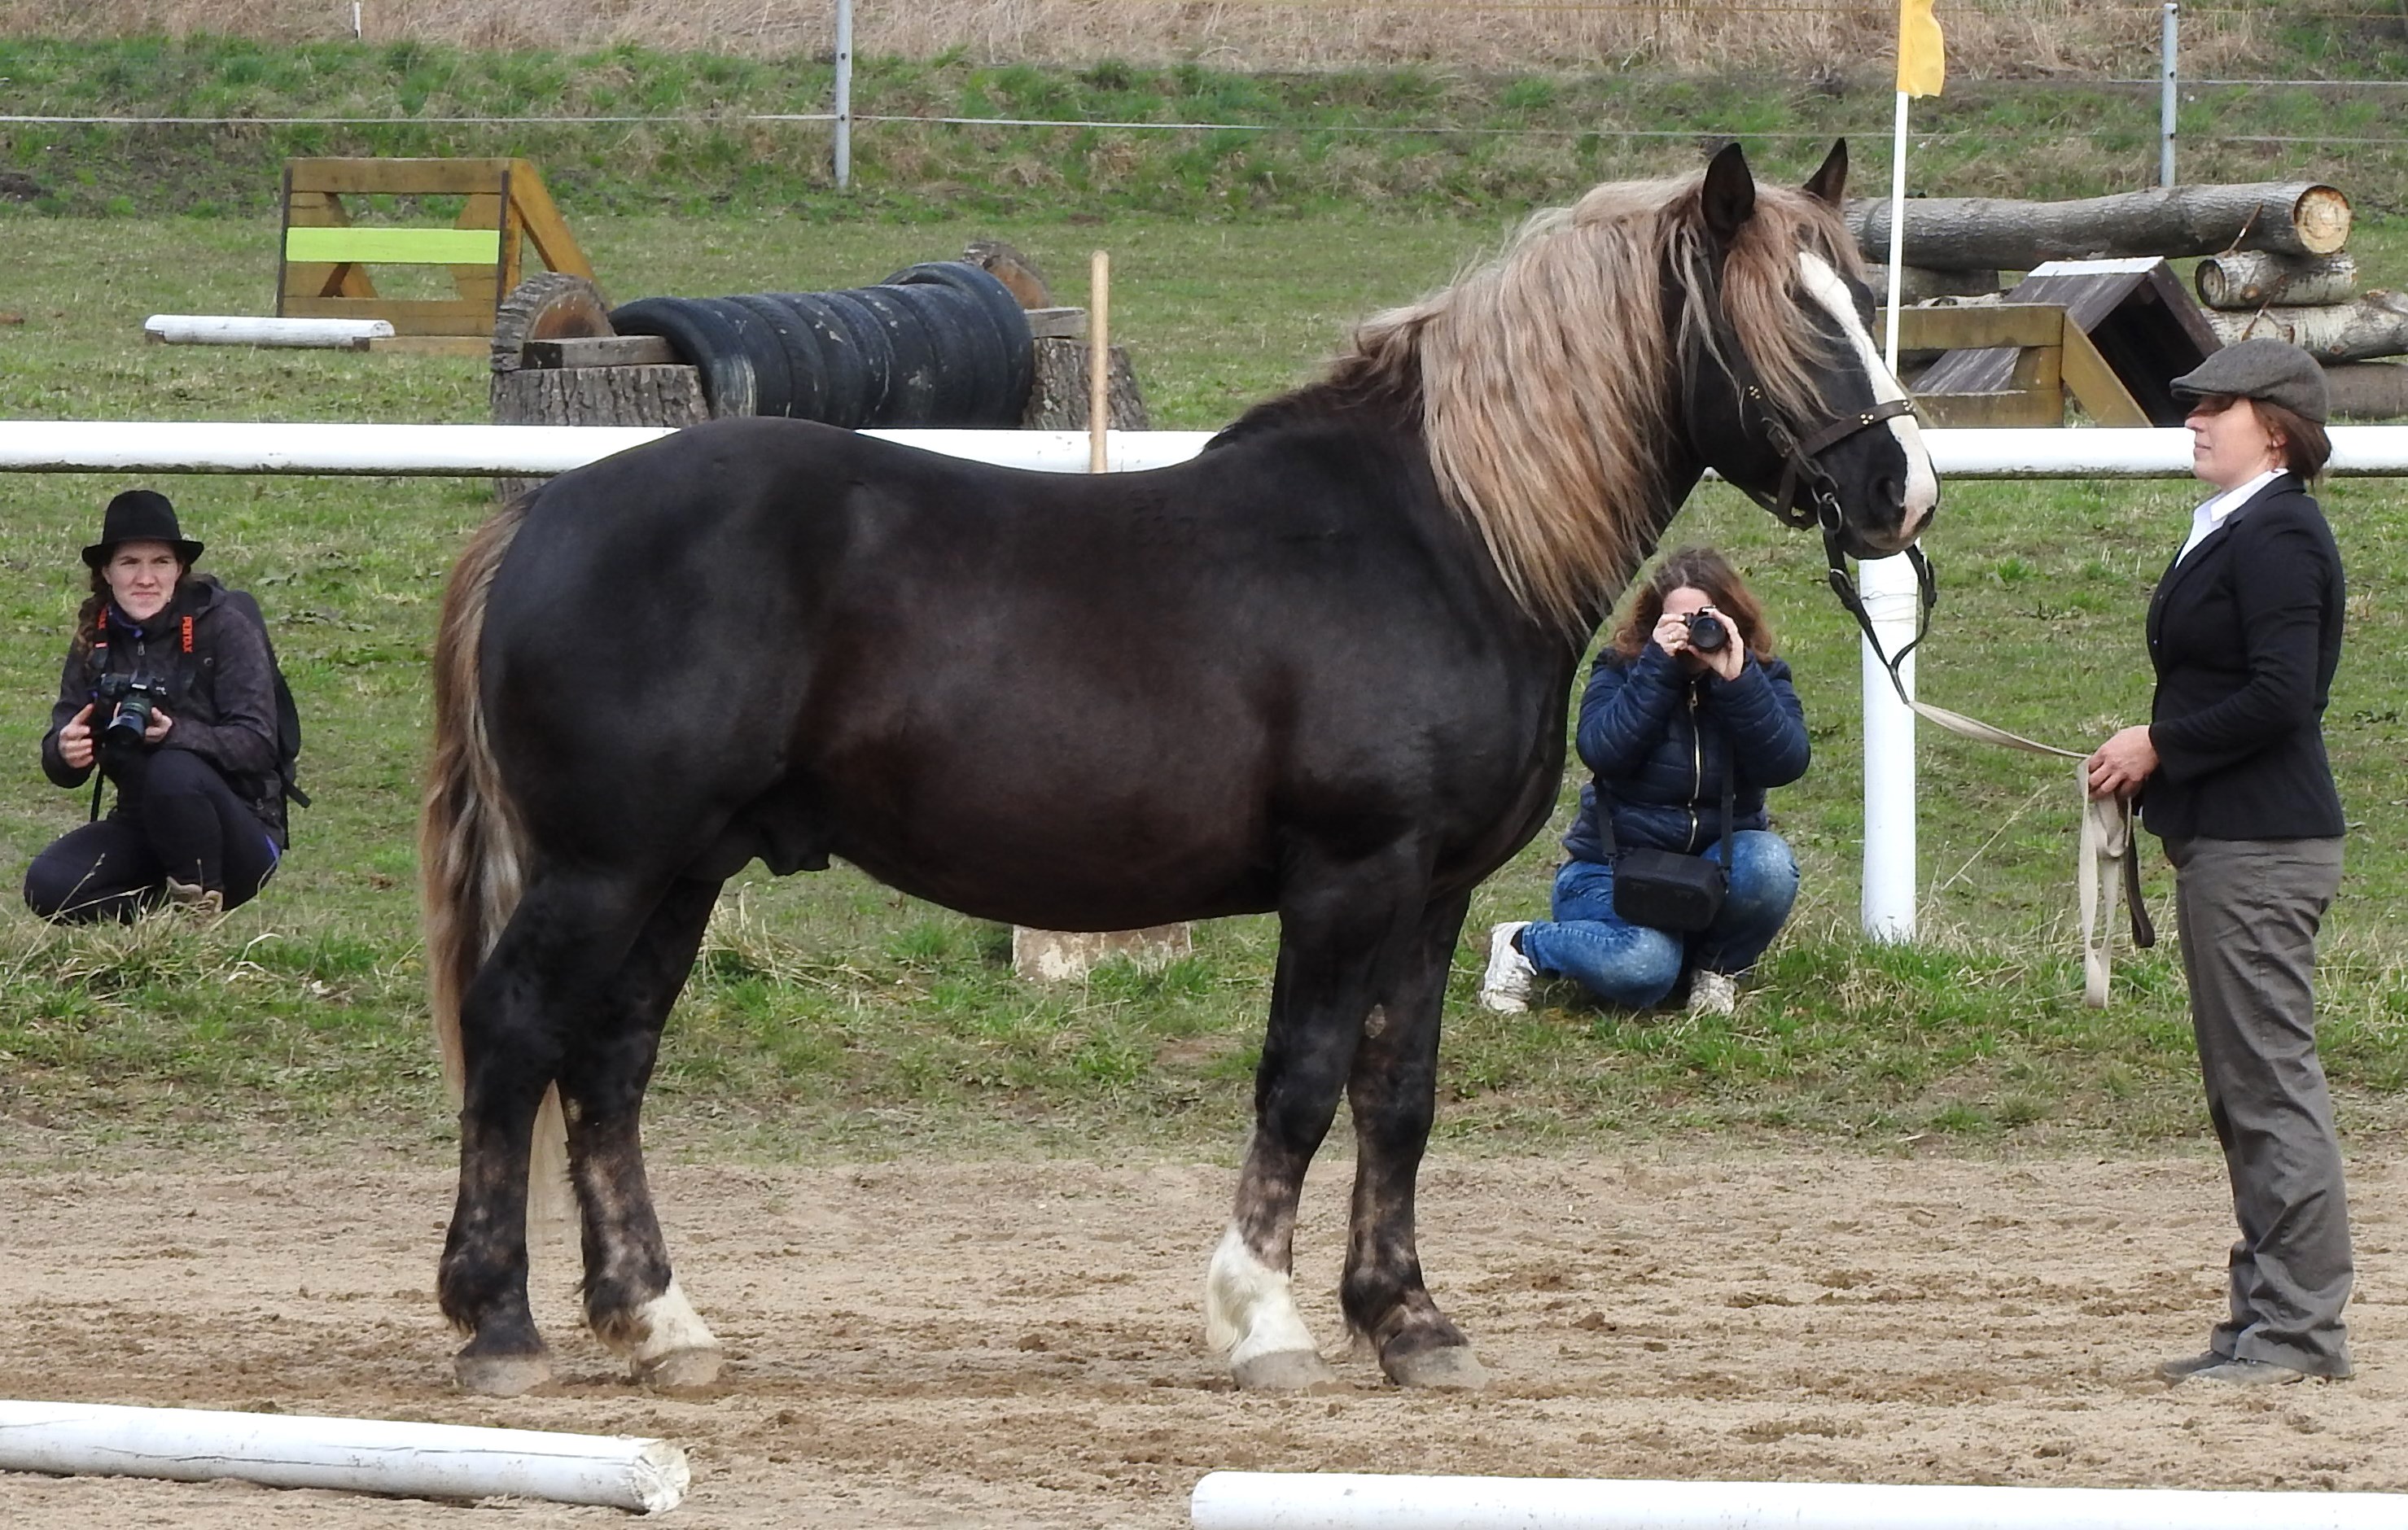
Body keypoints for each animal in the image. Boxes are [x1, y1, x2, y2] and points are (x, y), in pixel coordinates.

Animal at [418, 142, 1936, 1395]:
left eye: (1863, 296)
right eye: (1793, 316)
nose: (1901, 494)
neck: (1436, 536)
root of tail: (546, 516)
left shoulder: (1433, 893)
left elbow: (1398, 1096)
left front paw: (1408, 1322)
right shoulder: (1347, 876)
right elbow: (1301, 1081)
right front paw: (1264, 1321)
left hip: (680, 872)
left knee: (608, 1064)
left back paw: (658, 1325)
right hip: (604, 868)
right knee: (516, 1035)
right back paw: (500, 1328)